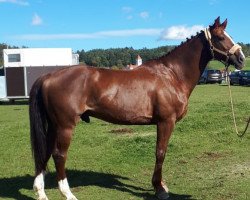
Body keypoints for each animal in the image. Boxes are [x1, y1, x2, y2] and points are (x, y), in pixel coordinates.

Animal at [28, 17, 244, 200]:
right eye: (220, 37)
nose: (241, 58)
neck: (171, 74)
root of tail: (48, 77)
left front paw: (161, 185)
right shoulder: (166, 122)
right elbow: (160, 152)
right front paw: (159, 188)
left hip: (53, 126)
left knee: (45, 152)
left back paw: (41, 192)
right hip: (65, 126)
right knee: (59, 155)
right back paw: (68, 193)